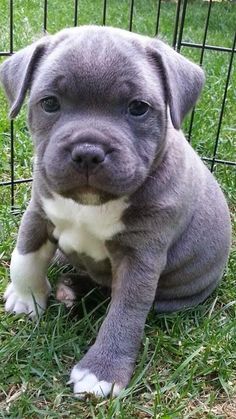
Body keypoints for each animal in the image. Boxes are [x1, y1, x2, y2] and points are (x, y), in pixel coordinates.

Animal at [0, 24, 231, 398]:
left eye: (138, 108)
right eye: (50, 103)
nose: (88, 151)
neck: (92, 203)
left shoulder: (141, 257)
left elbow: (125, 313)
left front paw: (102, 372)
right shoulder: (38, 214)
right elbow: (24, 258)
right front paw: (25, 297)